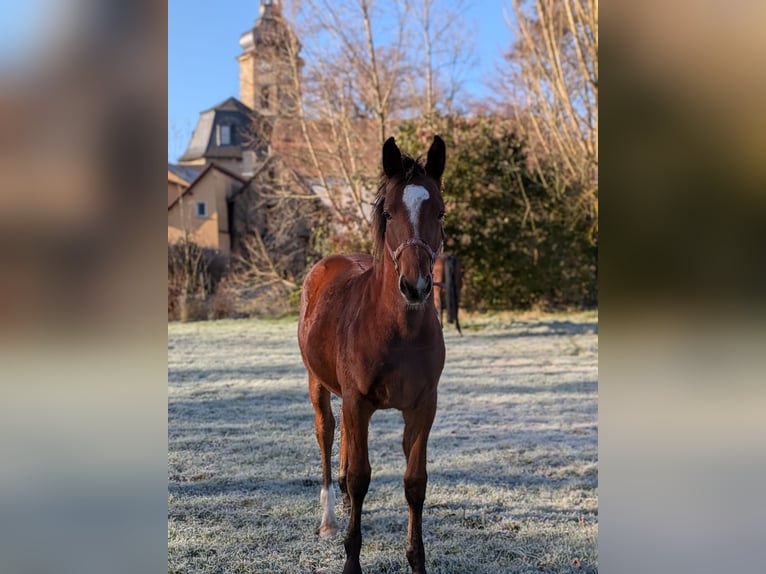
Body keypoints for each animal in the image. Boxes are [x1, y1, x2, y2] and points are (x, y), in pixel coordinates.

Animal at [298, 136, 447, 574]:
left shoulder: (423, 406)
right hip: (320, 386)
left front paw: (417, 561)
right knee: (328, 435)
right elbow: (361, 477)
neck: (398, 331)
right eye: (389, 211)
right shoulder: (358, 401)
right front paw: (351, 560)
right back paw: (331, 519)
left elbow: (415, 482)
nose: (415, 285)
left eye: (440, 211)